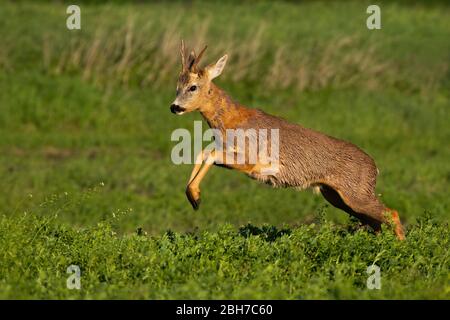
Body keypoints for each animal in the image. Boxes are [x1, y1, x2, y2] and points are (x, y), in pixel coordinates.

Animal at [171, 41, 406, 239]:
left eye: (193, 86)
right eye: (177, 86)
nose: (174, 107)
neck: (232, 122)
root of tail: (375, 168)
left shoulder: (251, 161)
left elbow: (210, 153)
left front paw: (195, 197)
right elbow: (203, 152)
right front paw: (193, 196)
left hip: (356, 193)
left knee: (391, 214)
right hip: (336, 196)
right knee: (377, 222)